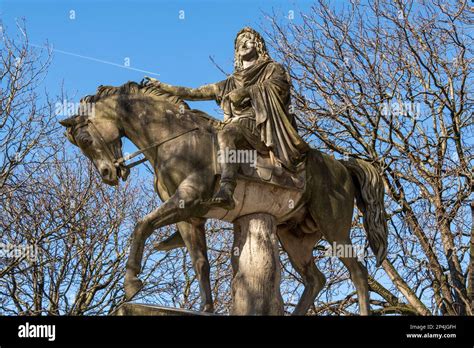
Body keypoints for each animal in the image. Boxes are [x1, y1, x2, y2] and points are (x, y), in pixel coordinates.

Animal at [59, 82, 386, 316]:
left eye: (85, 139)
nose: (108, 174)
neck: (175, 139)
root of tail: (341, 165)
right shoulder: (190, 218)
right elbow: (200, 263)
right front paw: (206, 308)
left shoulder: (187, 200)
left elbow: (142, 225)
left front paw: (131, 284)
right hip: (294, 237)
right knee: (315, 279)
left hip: (334, 229)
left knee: (358, 273)